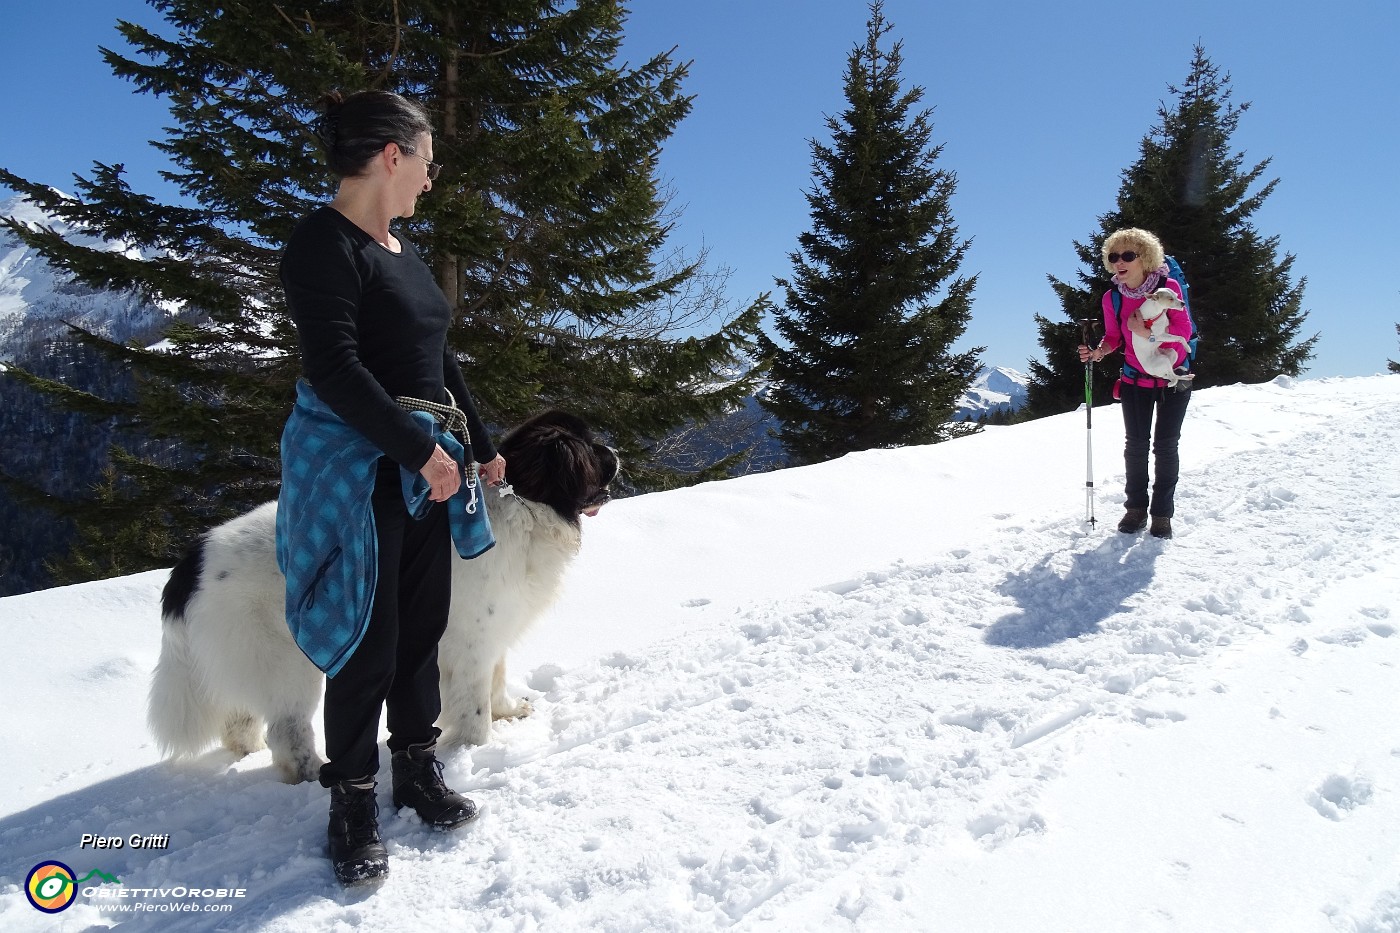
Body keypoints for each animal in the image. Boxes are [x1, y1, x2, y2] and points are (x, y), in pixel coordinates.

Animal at [146, 406, 618, 778]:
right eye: (590, 448)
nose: (615, 453)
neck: (523, 506)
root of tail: (192, 562)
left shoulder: (497, 628)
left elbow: (496, 680)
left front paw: (508, 711)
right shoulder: (471, 642)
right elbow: (473, 703)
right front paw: (479, 748)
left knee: (239, 719)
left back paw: (251, 753)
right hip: (286, 660)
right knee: (287, 728)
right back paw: (313, 771)